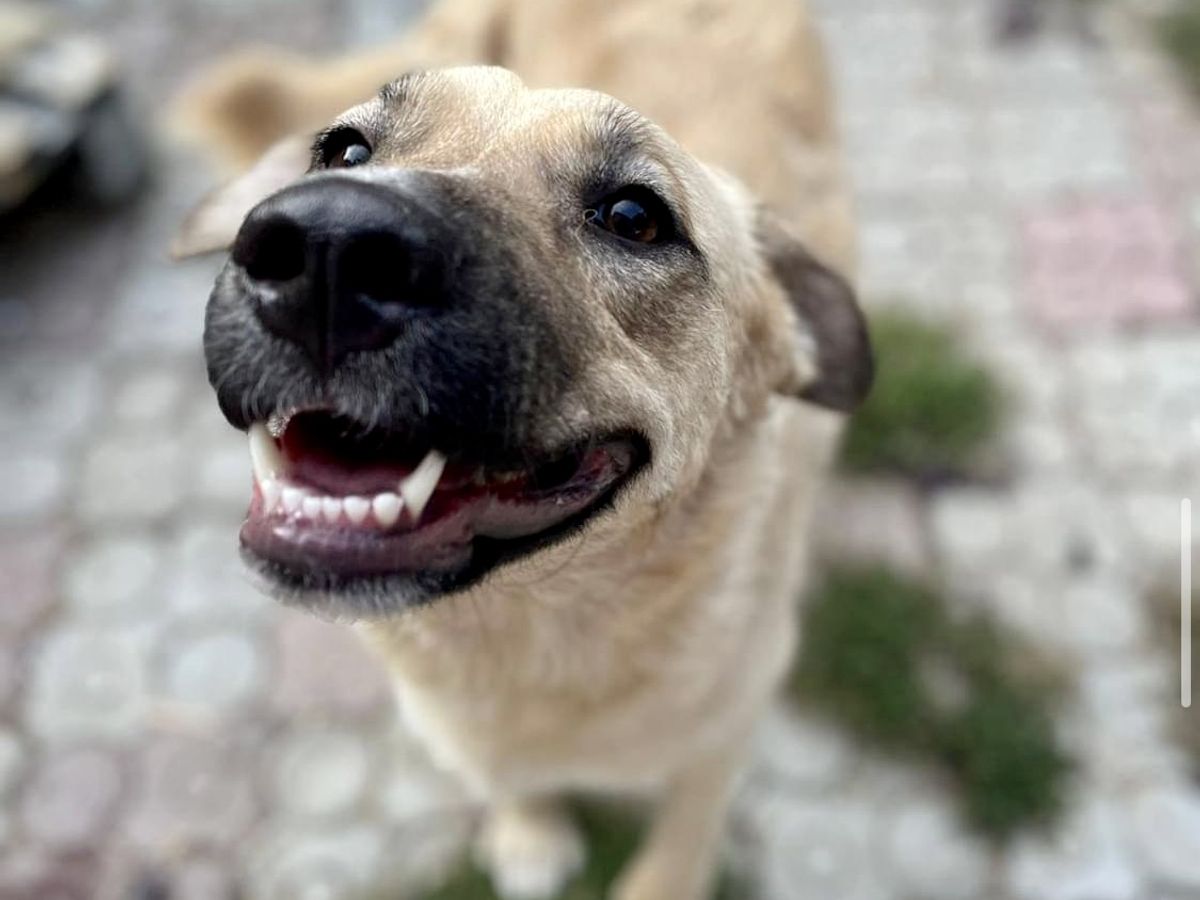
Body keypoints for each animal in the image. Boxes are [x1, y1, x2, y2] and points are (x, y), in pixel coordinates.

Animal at [172, 1, 871, 897]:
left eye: (634, 217)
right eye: (345, 151)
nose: (326, 244)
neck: (523, 630)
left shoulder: (728, 729)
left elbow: (678, 846)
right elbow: (504, 777)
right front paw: (528, 833)